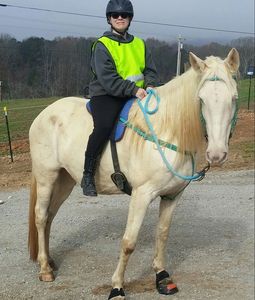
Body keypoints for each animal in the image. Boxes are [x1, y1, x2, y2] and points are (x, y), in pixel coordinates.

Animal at [27, 48, 239, 298]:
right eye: (201, 99)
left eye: (233, 98)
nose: (216, 154)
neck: (166, 130)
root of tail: (44, 114)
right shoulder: (141, 195)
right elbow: (129, 242)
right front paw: (117, 287)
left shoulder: (172, 196)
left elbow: (162, 234)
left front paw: (161, 276)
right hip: (46, 177)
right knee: (41, 217)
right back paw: (44, 269)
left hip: (64, 181)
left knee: (50, 215)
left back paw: (49, 261)